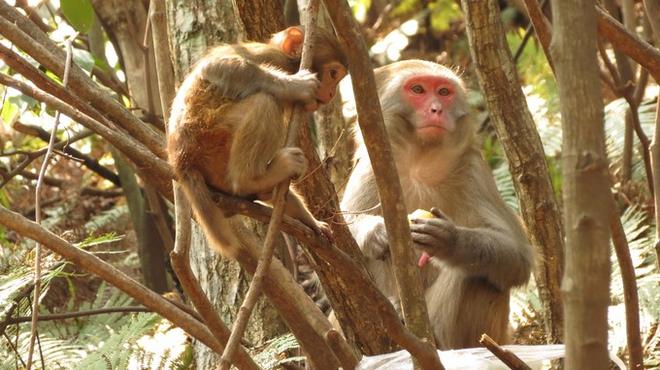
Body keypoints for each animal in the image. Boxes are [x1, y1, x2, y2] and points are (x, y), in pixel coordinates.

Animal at [168, 26, 348, 258]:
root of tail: (182, 163)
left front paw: (313, 222)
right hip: (210, 139)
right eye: (333, 74)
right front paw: (295, 86)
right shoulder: (268, 56)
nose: (333, 93)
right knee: (265, 101)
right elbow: (214, 68)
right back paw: (249, 180)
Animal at [342, 59, 532, 348]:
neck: (423, 163)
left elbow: (518, 256)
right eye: (418, 89)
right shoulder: (370, 170)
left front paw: (449, 240)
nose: (436, 109)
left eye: (443, 92)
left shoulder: (474, 172)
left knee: (479, 276)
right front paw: (376, 232)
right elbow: (335, 223)